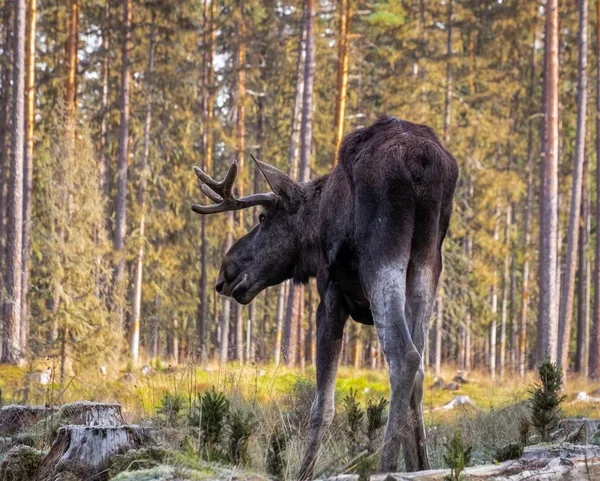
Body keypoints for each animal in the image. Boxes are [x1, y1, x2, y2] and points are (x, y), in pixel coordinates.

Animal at [192, 115, 460, 476]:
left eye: (262, 217)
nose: (225, 274)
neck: (316, 227)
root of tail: (422, 163)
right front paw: (417, 465)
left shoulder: (331, 296)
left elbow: (322, 405)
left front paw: (304, 472)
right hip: (427, 263)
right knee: (418, 365)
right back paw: (418, 464)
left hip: (381, 253)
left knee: (404, 356)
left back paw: (383, 467)